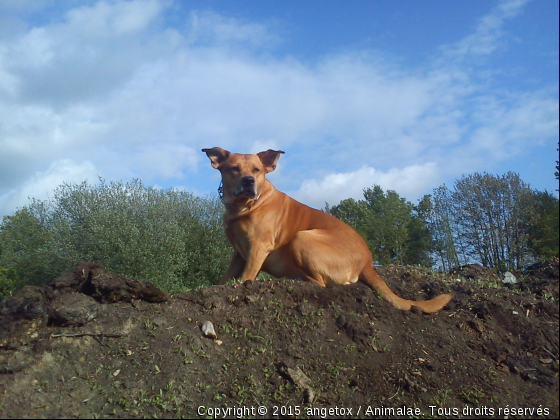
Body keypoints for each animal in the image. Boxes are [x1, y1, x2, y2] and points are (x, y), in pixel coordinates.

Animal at [201, 146, 450, 314]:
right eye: (234, 169)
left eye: (257, 170)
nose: (248, 181)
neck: (244, 206)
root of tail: (368, 262)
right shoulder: (239, 253)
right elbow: (226, 278)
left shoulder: (258, 249)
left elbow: (245, 277)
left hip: (302, 238)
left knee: (321, 283)